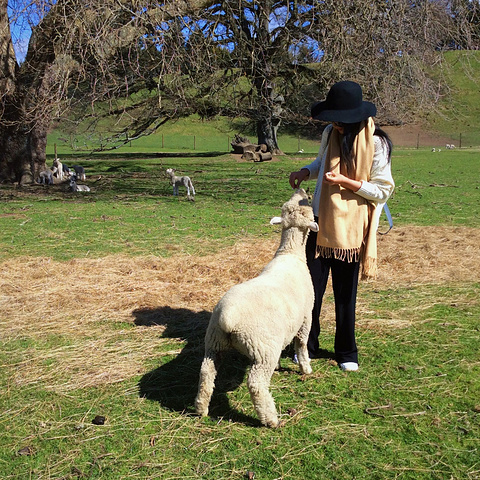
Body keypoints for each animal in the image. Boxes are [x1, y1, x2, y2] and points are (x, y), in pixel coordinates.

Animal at [195, 188, 318, 428]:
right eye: (305, 207)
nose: (300, 189)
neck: (290, 254)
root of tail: (228, 317)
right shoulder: (306, 317)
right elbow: (301, 344)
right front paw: (306, 368)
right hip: (262, 349)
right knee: (256, 384)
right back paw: (270, 419)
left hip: (214, 342)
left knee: (206, 372)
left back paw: (200, 408)